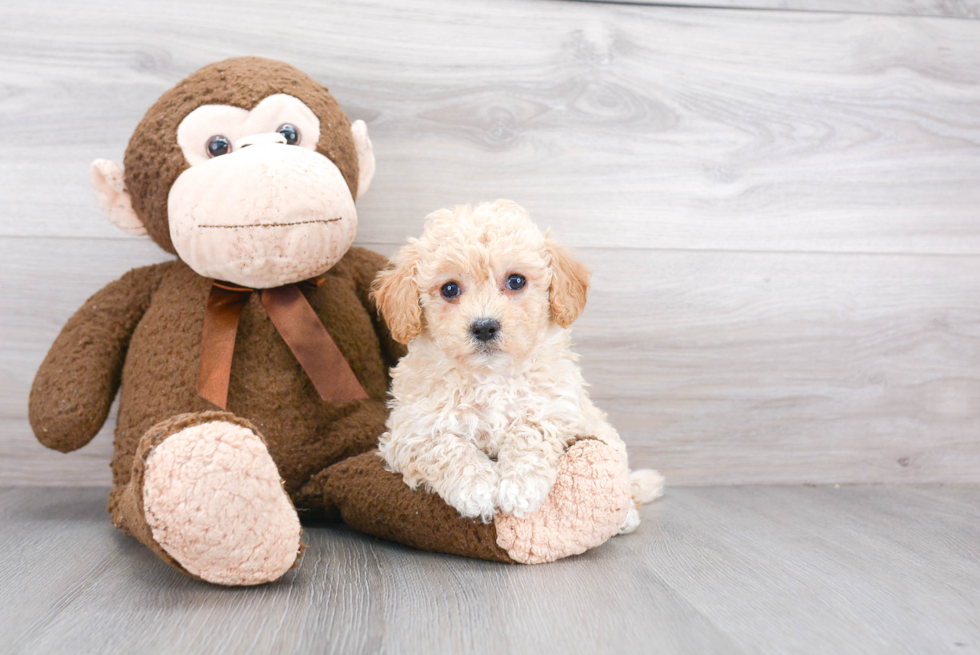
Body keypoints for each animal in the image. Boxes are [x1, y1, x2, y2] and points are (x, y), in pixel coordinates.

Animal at [372, 200, 664, 532]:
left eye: (516, 281)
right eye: (449, 289)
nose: (484, 327)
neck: (490, 377)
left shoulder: (559, 409)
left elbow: (530, 430)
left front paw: (519, 486)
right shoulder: (410, 432)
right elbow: (447, 447)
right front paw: (476, 487)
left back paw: (626, 515)